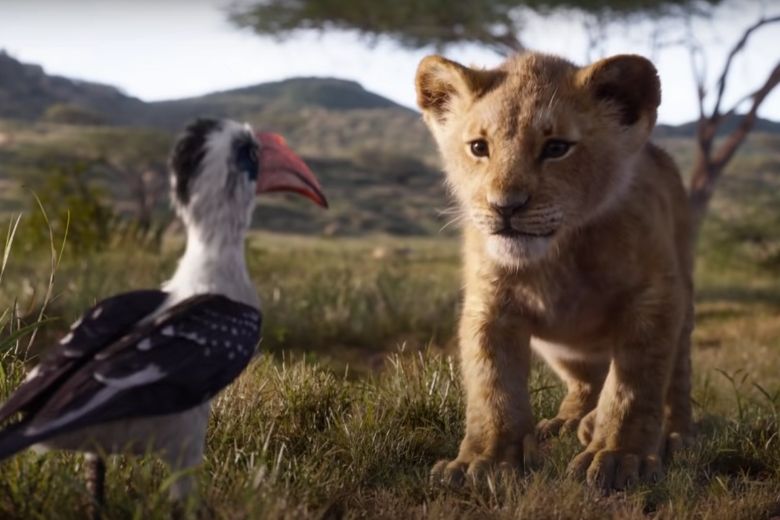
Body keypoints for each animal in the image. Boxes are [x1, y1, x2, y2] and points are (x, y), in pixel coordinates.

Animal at [415, 52, 694, 490]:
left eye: (557, 148)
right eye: (479, 147)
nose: (505, 206)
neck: (558, 256)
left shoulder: (653, 297)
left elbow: (634, 386)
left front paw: (618, 457)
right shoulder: (489, 305)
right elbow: (492, 386)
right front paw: (485, 461)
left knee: (676, 379)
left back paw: (674, 434)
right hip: (563, 350)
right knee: (586, 381)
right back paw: (568, 422)